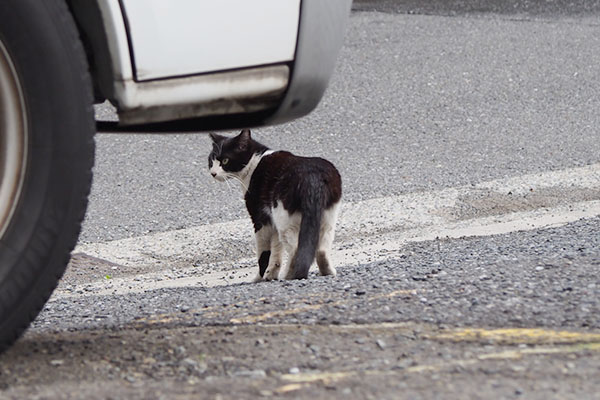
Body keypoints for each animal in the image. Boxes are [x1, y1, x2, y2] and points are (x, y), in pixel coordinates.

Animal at [207, 130, 342, 280]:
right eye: (211, 160)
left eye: (225, 160)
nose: (213, 173)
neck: (254, 161)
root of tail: (312, 176)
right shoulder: (272, 222)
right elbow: (276, 252)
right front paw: (271, 274)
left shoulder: (260, 219)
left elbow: (263, 254)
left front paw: (259, 278)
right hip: (327, 218)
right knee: (322, 248)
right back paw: (327, 272)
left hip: (283, 217)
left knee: (295, 249)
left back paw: (289, 275)